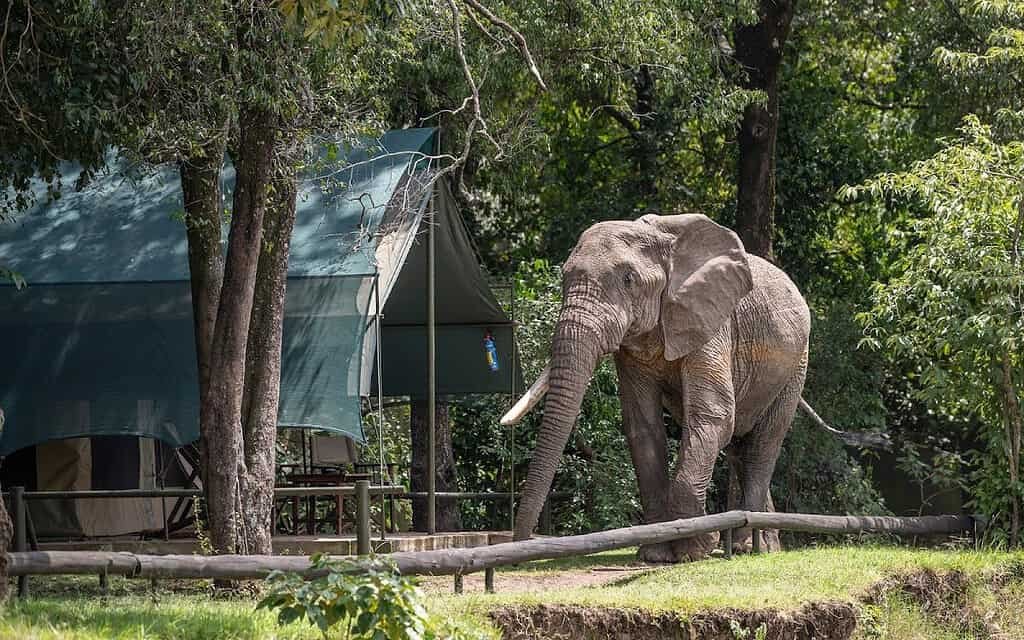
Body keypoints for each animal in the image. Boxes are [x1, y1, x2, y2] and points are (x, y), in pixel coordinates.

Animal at [501, 213, 810, 563]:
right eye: (565, 278)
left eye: (629, 280)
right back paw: (765, 545)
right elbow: (643, 428)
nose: (520, 545)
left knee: (762, 444)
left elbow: (712, 416)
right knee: (737, 447)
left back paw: (747, 546)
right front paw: (656, 554)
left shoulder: (711, 323)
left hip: (795, 366)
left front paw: (694, 549)